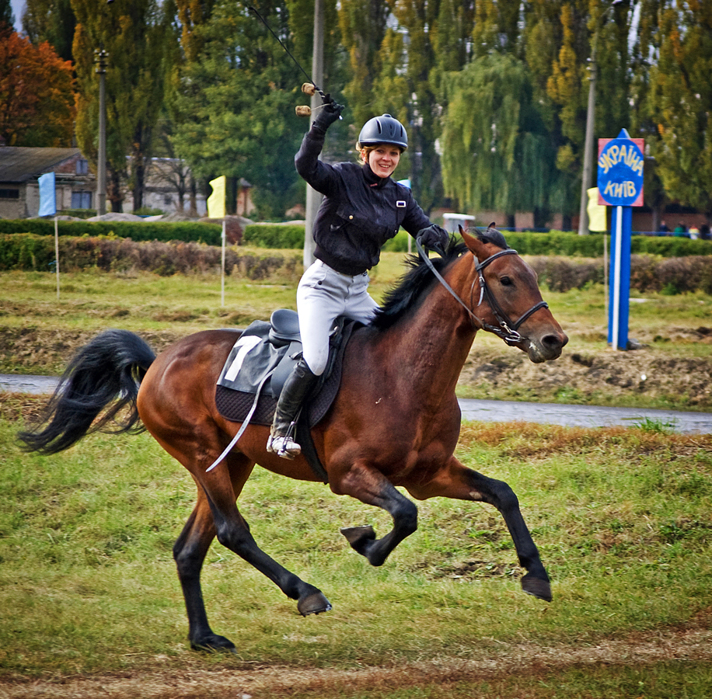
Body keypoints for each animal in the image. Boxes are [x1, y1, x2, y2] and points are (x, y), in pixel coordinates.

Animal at [18, 227, 568, 652]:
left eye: (534, 276)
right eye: (506, 280)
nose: (554, 340)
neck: (404, 374)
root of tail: (157, 361)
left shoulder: (429, 473)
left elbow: (502, 493)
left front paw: (536, 574)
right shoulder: (350, 475)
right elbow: (405, 515)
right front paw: (364, 541)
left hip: (230, 463)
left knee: (190, 547)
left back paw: (204, 637)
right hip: (200, 453)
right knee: (232, 532)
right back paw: (304, 592)